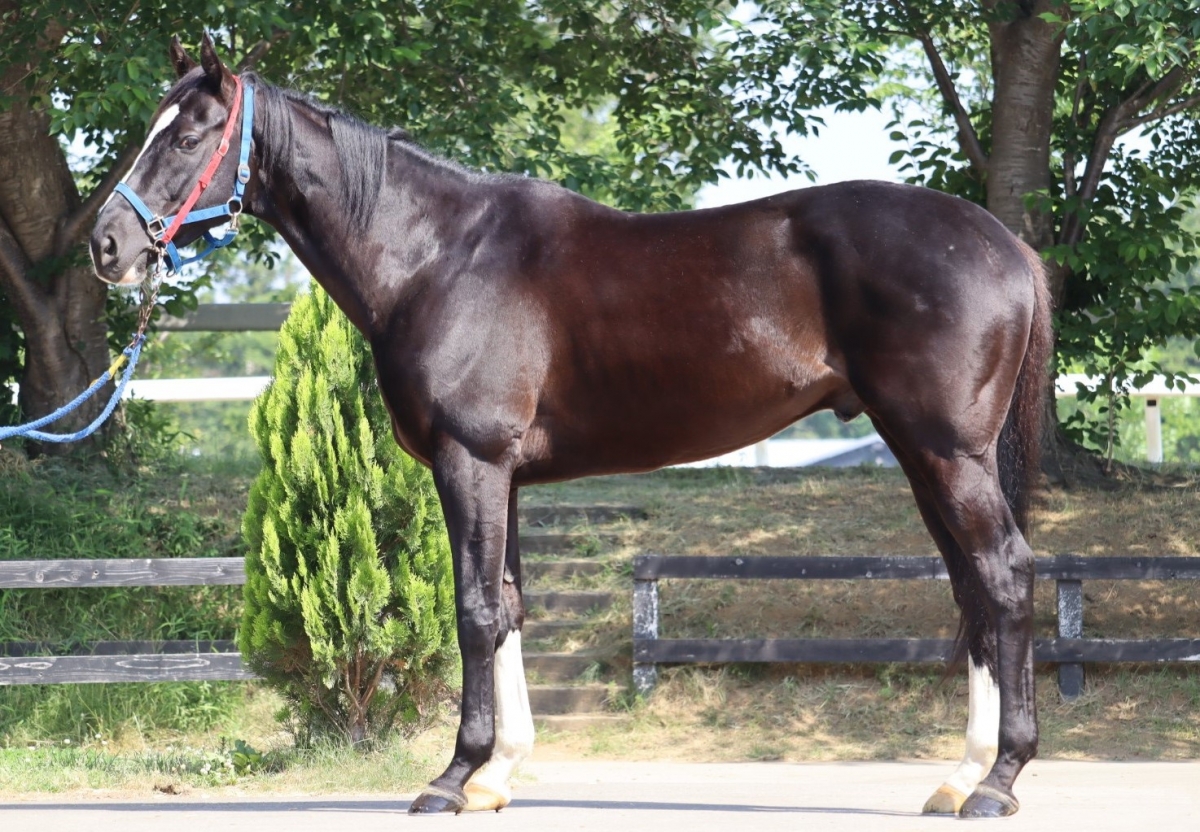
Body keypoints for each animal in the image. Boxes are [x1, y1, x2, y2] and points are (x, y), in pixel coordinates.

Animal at [91, 35, 1052, 818]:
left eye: (187, 138)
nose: (106, 245)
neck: (436, 254)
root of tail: (1005, 245)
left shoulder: (469, 461)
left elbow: (475, 608)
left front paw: (453, 776)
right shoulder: (500, 474)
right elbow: (510, 604)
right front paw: (498, 775)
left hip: (947, 453)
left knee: (1003, 576)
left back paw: (1001, 780)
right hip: (923, 454)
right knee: (970, 588)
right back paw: (962, 775)